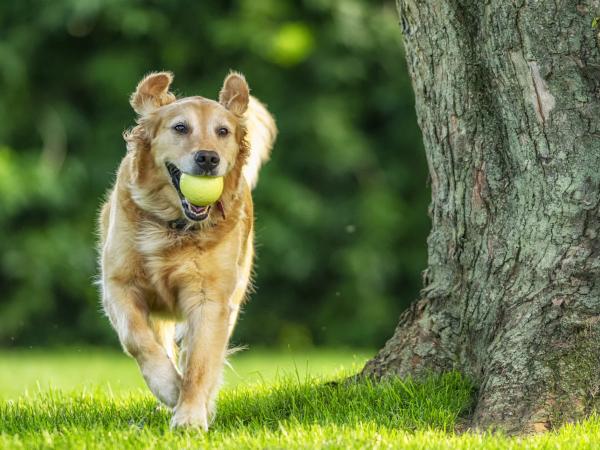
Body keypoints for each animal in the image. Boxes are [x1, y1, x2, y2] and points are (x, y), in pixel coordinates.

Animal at [98, 71, 276, 428]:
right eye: (180, 127)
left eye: (223, 131)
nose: (208, 158)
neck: (173, 226)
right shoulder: (118, 284)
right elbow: (138, 340)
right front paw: (168, 387)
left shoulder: (211, 299)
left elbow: (201, 362)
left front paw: (191, 415)